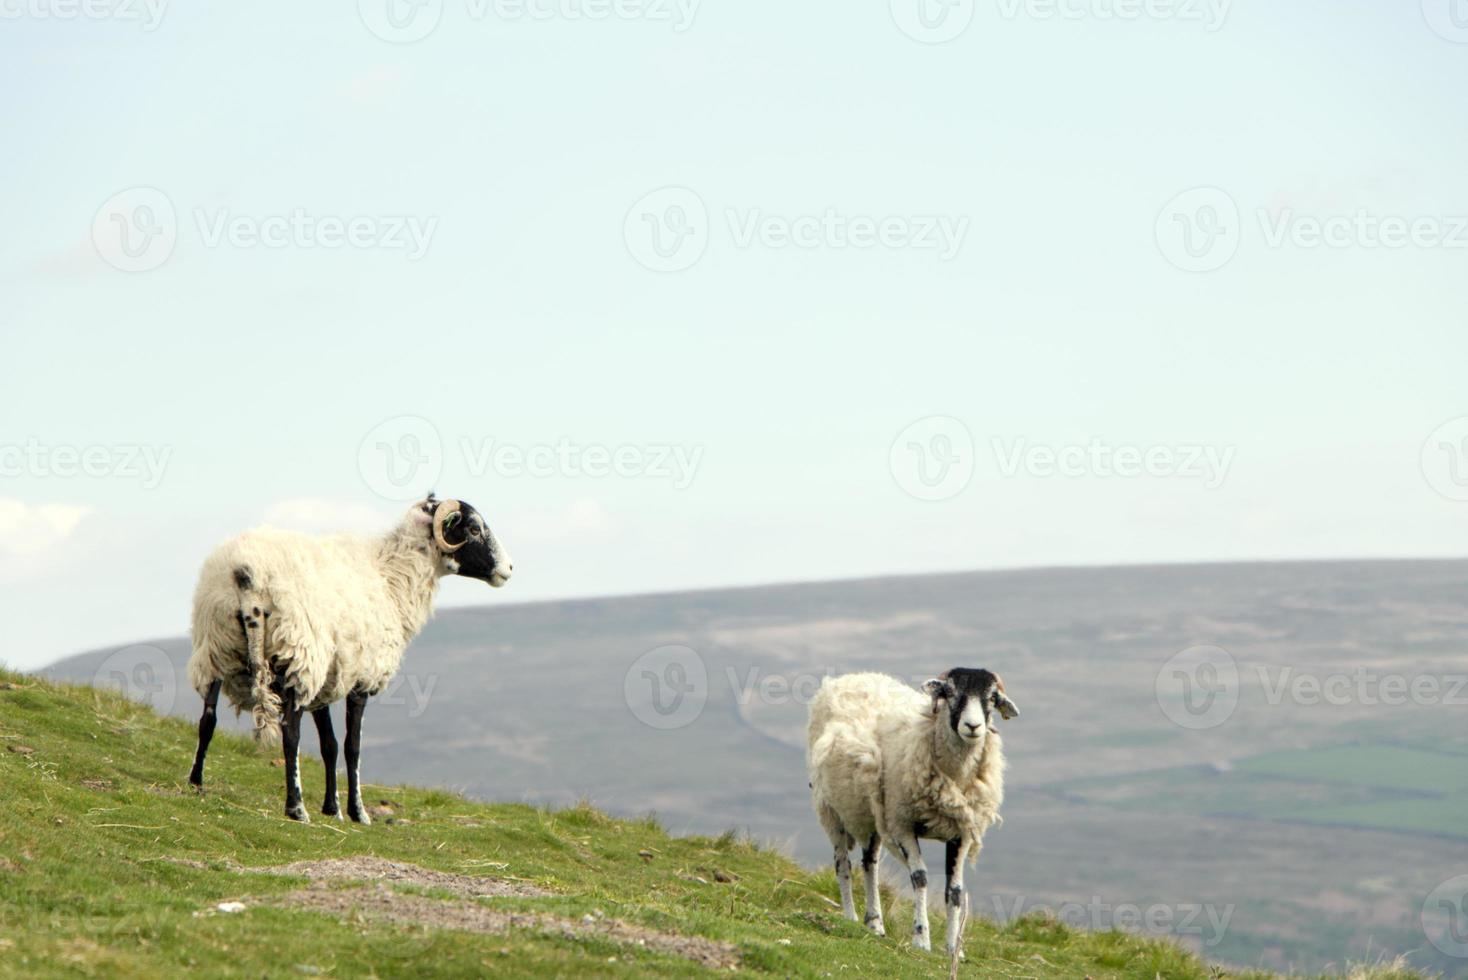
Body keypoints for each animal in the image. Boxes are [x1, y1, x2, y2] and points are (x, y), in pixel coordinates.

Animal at [186, 492, 513, 821]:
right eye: (473, 528)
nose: (508, 569)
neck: (393, 579)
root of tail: (246, 573)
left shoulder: (328, 677)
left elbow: (329, 745)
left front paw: (332, 808)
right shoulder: (362, 678)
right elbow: (352, 746)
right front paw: (358, 812)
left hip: (217, 644)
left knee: (208, 717)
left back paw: (195, 783)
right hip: (299, 655)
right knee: (290, 733)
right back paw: (296, 807)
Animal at [804, 668, 1021, 950]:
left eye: (992, 697)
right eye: (950, 692)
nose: (973, 726)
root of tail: (850, 676)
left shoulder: (961, 832)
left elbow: (955, 891)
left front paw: (954, 948)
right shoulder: (902, 825)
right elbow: (920, 878)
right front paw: (921, 938)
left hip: (873, 815)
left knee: (870, 864)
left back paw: (875, 923)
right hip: (832, 810)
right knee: (843, 865)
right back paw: (850, 917)